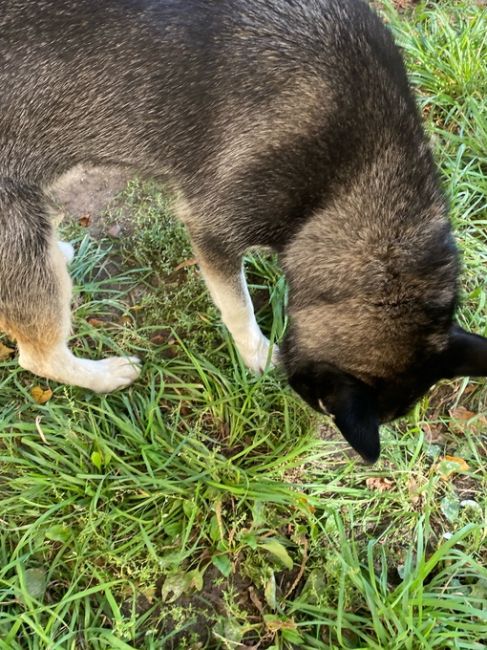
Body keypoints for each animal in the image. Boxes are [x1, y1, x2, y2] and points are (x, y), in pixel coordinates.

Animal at [0, 0, 487, 460]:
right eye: (325, 406)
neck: (358, 176)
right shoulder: (214, 229)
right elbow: (239, 308)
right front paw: (258, 355)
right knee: (38, 357)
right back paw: (103, 375)